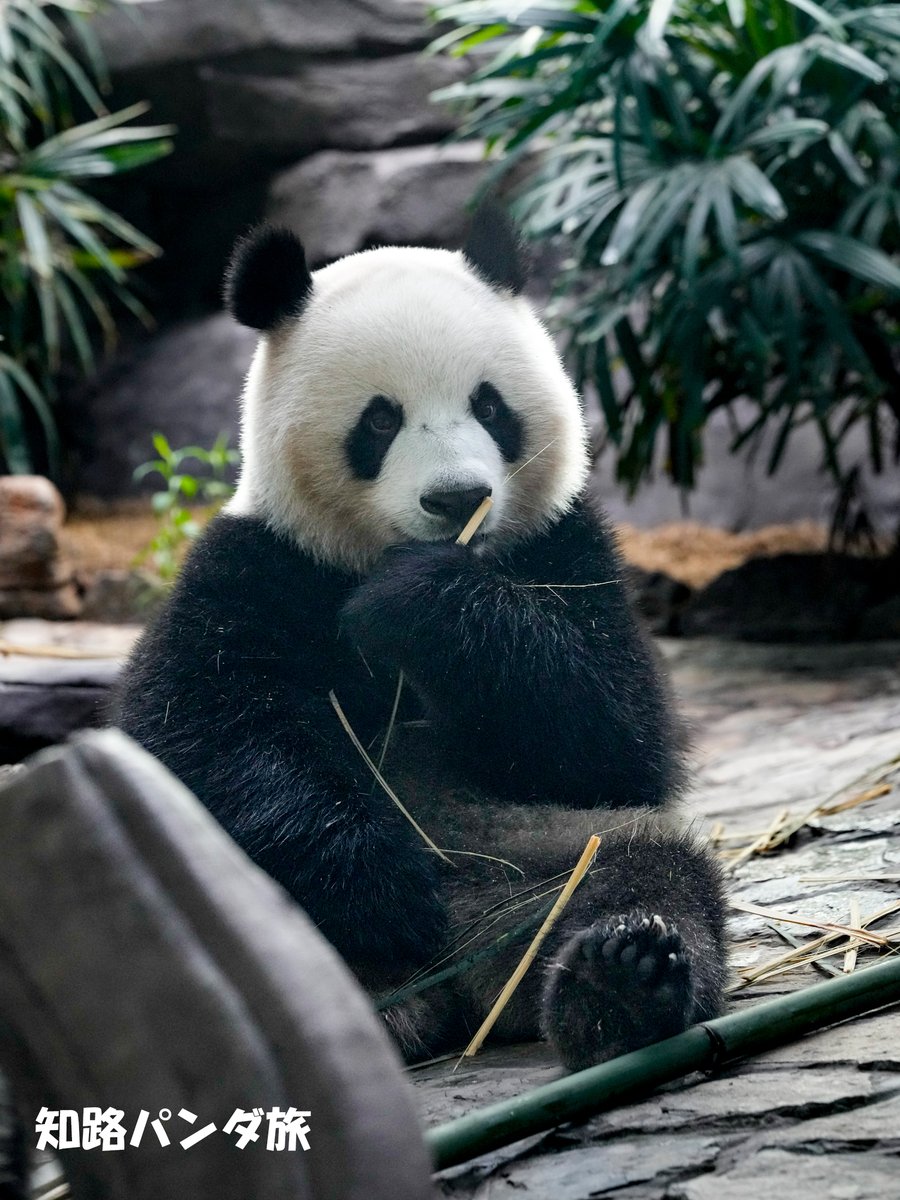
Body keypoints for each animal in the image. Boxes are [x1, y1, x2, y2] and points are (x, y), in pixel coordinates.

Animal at [117, 208, 726, 1071]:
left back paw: (619, 982)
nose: (458, 498)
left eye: (490, 406)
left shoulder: (566, 549)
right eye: (380, 419)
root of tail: (449, 986)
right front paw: (382, 885)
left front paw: (415, 600)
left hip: (540, 853)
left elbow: (617, 741)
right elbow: (202, 738)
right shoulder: (254, 568)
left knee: (642, 869)